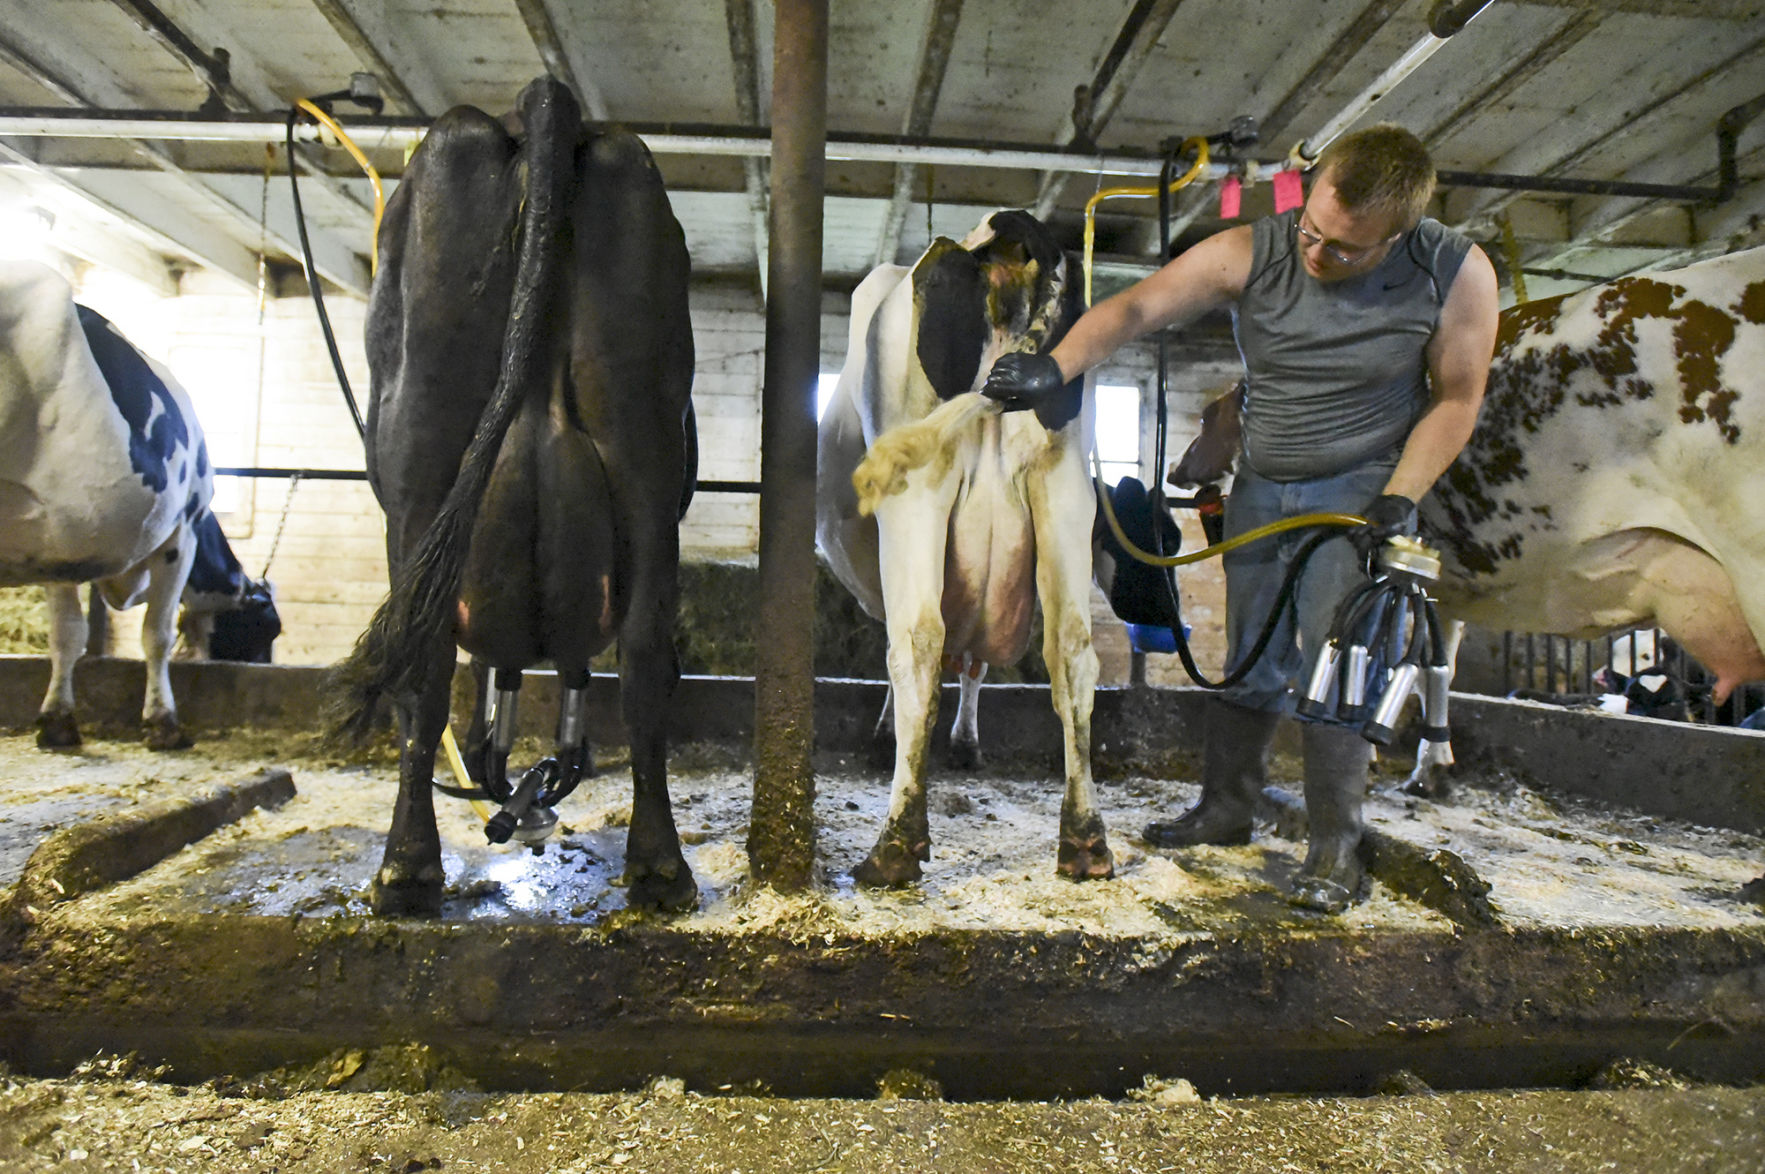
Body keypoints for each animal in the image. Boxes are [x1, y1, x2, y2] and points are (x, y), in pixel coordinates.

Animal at [0, 261, 234, 745]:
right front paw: (163, 721)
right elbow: (156, 635)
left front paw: (57, 720)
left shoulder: (52, 545)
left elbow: (67, 634)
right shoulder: (181, 532)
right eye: (269, 625)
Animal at [333, 80, 698, 918]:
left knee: (422, 673)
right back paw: (659, 867)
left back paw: (405, 871)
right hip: (644, 461)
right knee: (643, 661)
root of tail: (538, 97)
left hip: (418, 471)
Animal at [811, 212, 1101, 889]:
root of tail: (1008, 232)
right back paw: (1084, 840)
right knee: (1072, 652)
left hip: (915, 491)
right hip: (1065, 489)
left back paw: (894, 847)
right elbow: (977, 663)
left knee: (918, 644)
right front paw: (966, 741)